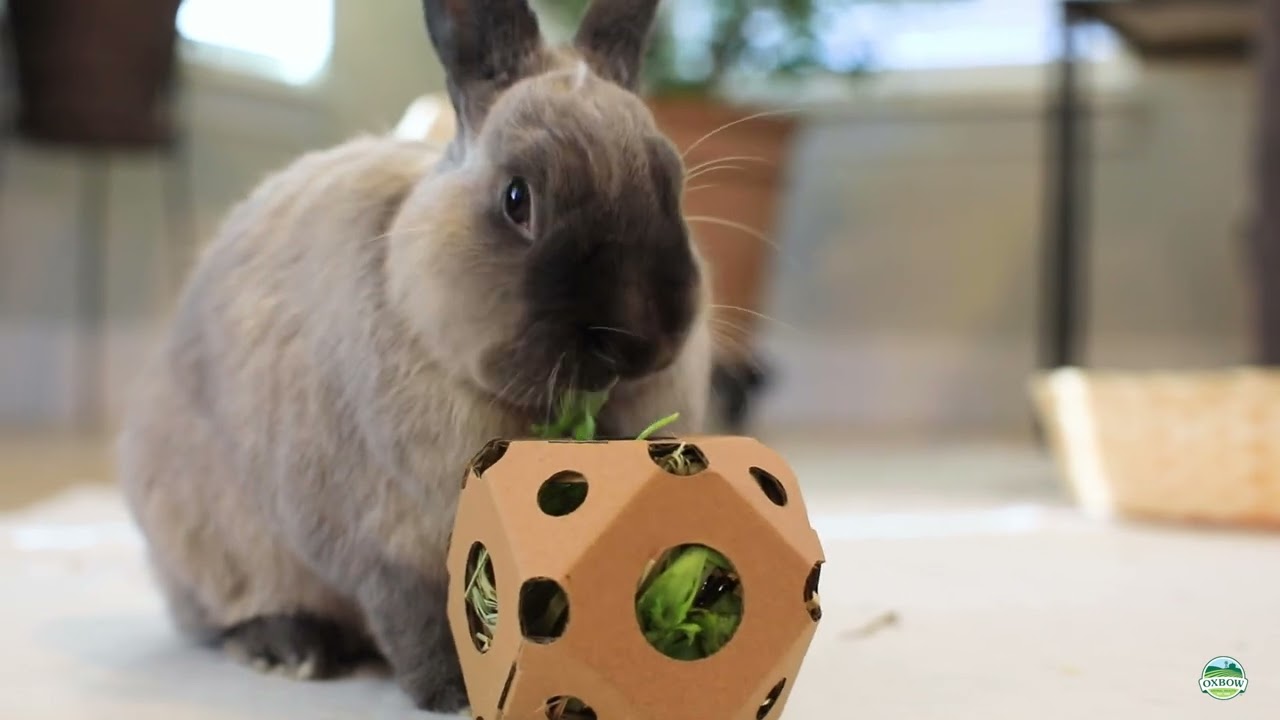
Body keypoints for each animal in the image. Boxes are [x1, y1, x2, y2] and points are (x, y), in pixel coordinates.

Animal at [116, 0, 713, 713]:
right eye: (518, 199)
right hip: (212, 548)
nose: (638, 339)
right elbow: (421, 618)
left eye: (674, 187)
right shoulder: (385, 544)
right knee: (227, 615)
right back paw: (288, 648)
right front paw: (455, 695)